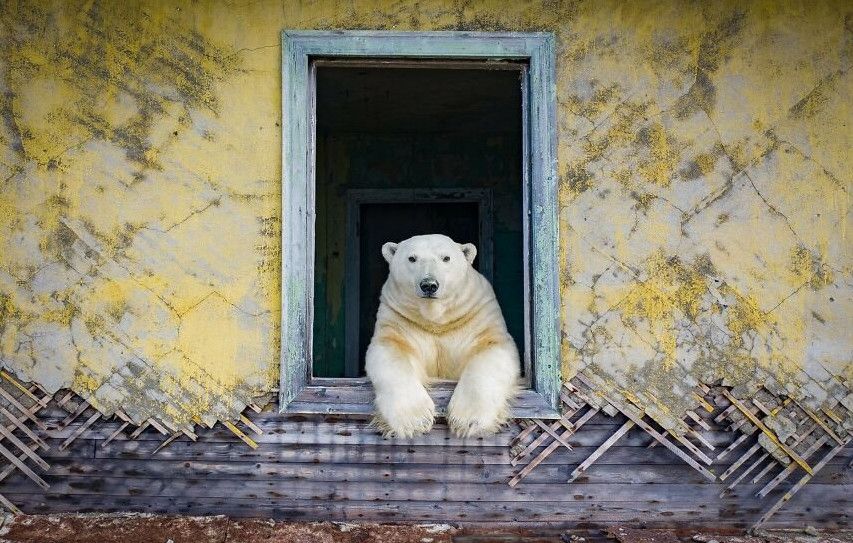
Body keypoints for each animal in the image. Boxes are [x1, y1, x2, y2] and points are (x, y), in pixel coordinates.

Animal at [364, 234, 520, 438]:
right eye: (412, 258)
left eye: (446, 258)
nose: (429, 285)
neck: (436, 320)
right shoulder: (399, 319)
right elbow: (391, 351)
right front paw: (414, 421)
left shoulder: (477, 314)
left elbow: (491, 349)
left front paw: (468, 421)